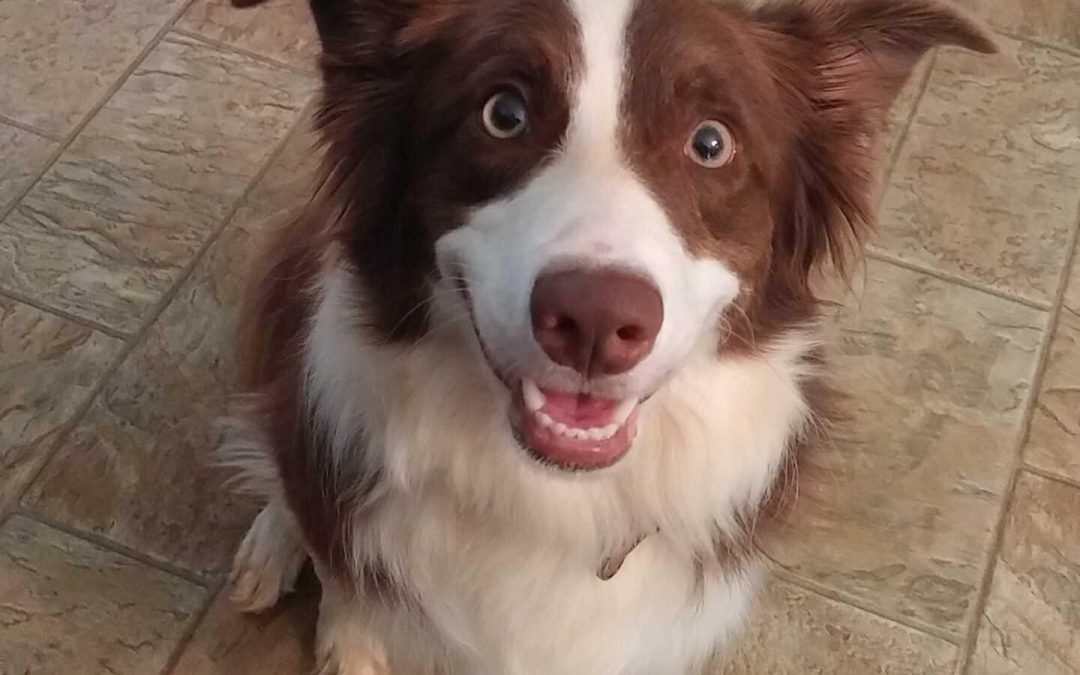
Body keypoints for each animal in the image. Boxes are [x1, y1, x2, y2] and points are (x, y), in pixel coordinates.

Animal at [221, 2, 993, 669]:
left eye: (711, 142)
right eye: (503, 114)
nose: (593, 320)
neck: (556, 500)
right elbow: (342, 571)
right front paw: (349, 638)